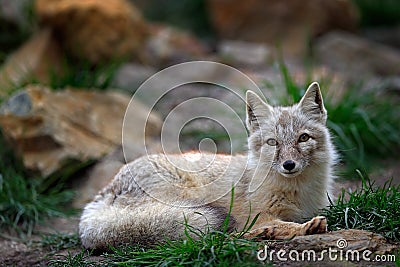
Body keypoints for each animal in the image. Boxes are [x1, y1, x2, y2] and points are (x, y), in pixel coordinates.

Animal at [79, 81, 338, 251]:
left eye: (303, 138)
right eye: (272, 142)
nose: (288, 164)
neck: (298, 192)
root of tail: (102, 194)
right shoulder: (259, 214)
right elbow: (281, 223)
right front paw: (304, 227)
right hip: (191, 200)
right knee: (218, 236)